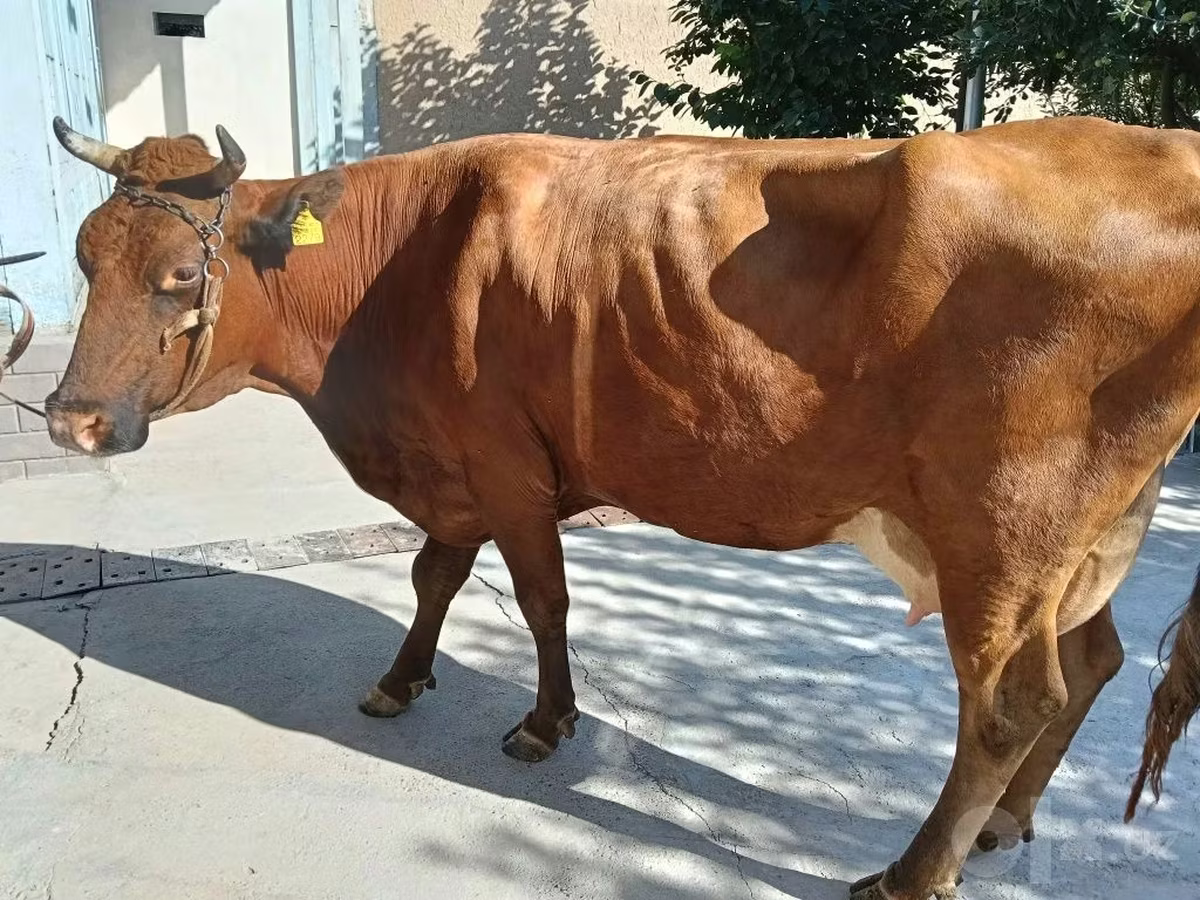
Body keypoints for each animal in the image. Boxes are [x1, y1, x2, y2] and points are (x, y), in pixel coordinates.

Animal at [44, 115, 1200, 900]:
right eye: (83, 254)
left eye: (181, 271)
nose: (69, 419)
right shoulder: (453, 469)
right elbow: (433, 575)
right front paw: (401, 679)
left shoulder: (505, 468)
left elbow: (540, 601)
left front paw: (546, 722)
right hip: (1082, 540)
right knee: (1090, 664)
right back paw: (1004, 823)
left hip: (1005, 528)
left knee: (1009, 702)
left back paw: (912, 872)